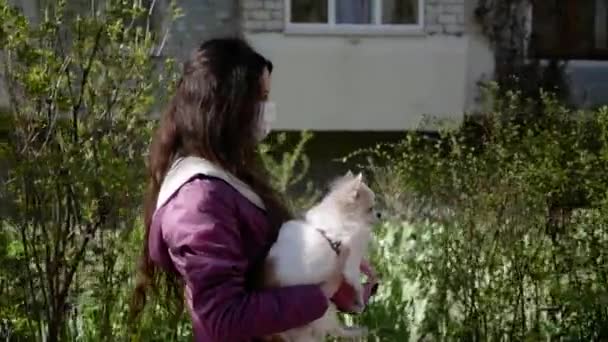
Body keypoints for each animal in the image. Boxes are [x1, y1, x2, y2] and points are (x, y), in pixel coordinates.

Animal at [264, 171, 378, 342]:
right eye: (370, 208)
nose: (380, 214)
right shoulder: (351, 262)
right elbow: (357, 284)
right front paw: (360, 301)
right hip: (325, 310)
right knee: (337, 330)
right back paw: (359, 331)